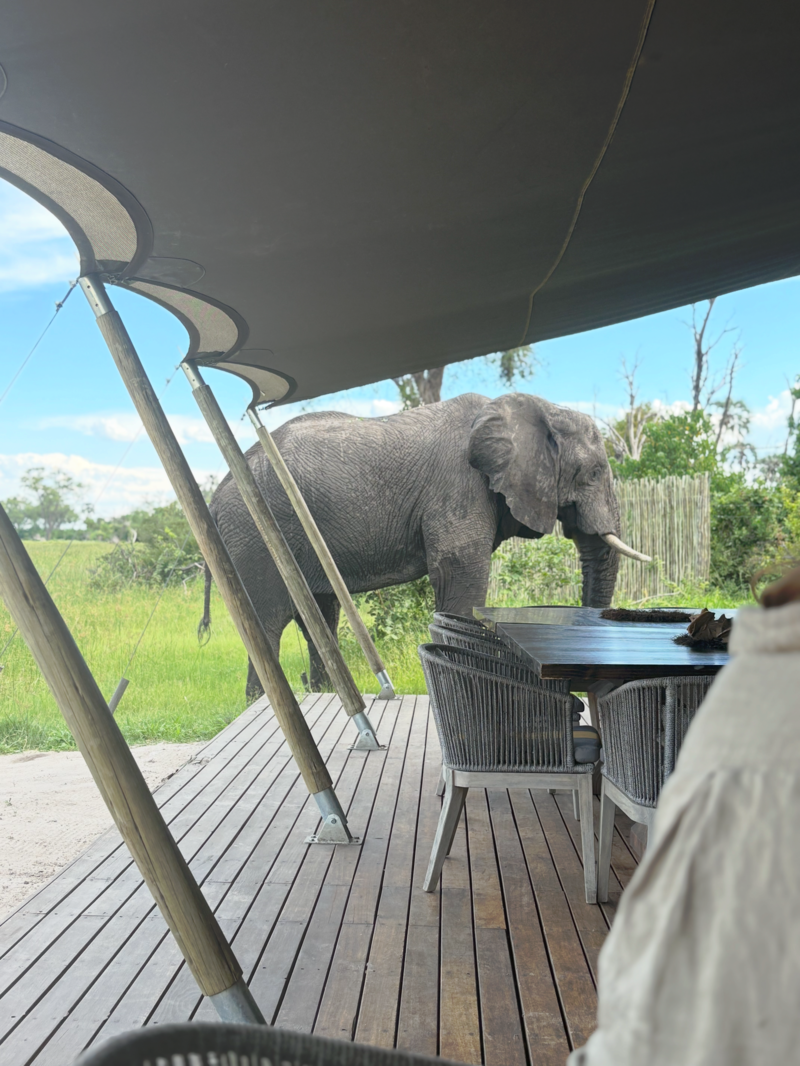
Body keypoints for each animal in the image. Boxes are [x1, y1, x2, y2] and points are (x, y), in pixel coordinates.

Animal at [202, 392, 647, 698]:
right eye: (594, 472)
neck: (540, 408)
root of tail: (216, 495)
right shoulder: (460, 488)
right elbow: (459, 574)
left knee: (320, 615)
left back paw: (321, 693)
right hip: (256, 532)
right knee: (270, 619)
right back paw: (260, 703)